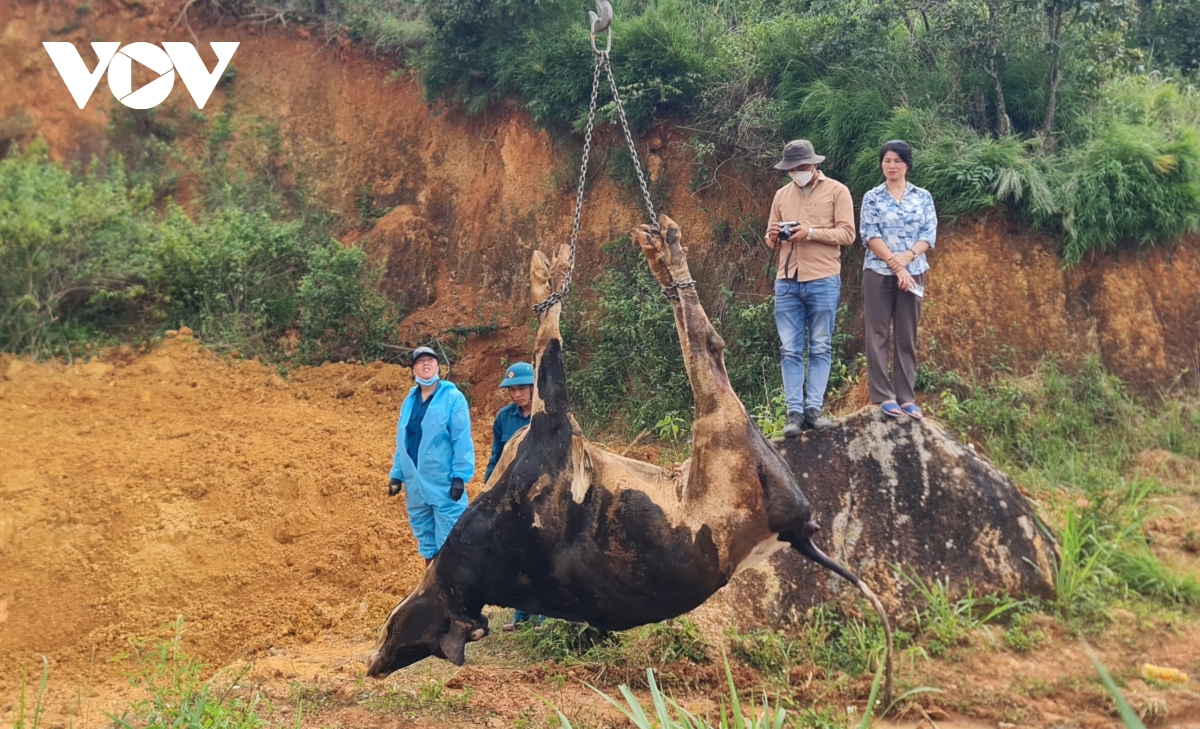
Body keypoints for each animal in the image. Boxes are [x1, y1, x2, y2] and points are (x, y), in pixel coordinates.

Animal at [364, 218, 892, 700]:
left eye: (393, 631)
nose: (375, 666)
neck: (473, 574)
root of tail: (795, 530)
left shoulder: (552, 429)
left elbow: (546, 344)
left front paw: (549, 277)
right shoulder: (556, 429)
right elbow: (548, 344)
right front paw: (550, 279)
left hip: (723, 440)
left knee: (703, 341)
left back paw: (663, 253)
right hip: (725, 436)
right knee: (707, 346)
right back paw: (665, 254)